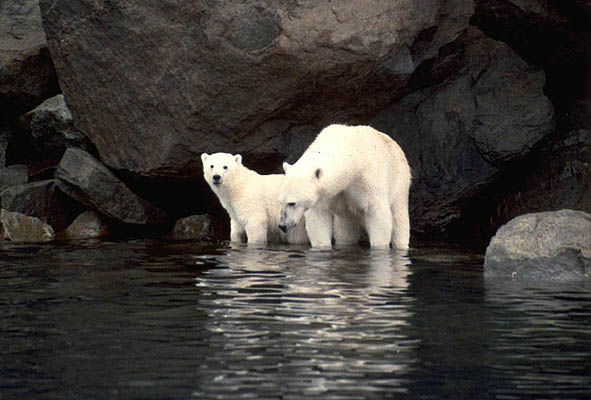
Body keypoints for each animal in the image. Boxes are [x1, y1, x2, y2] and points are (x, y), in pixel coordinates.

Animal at [278, 125, 412, 250]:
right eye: (280, 202)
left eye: (292, 203)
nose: (282, 226)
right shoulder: (327, 193)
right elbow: (318, 217)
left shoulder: (368, 179)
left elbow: (378, 213)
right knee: (345, 231)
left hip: (399, 180)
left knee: (399, 218)